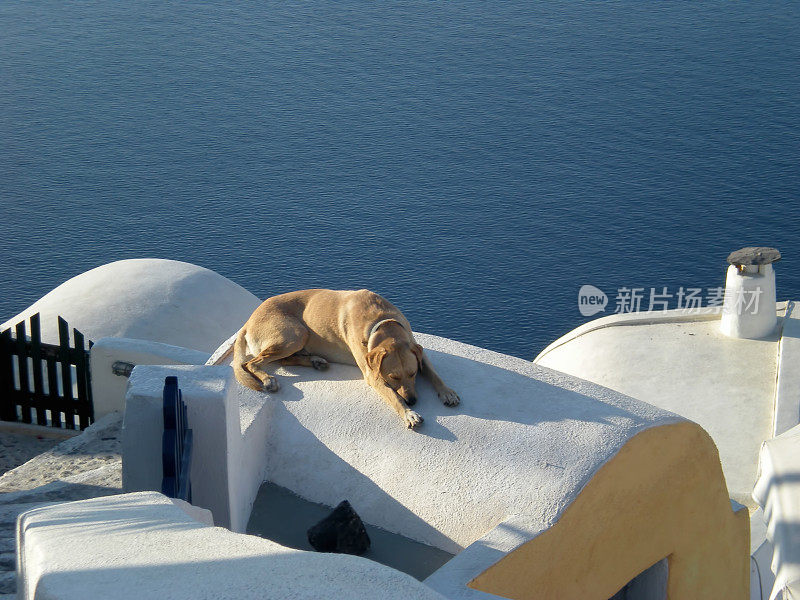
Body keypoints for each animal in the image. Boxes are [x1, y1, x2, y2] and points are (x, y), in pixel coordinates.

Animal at [231, 290, 460, 426]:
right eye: (393, 377)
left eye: (412, 374)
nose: (412, 400)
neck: (382, 322)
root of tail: (247, 322)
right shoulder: (372, 375)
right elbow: (392, 396)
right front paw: (408, 413)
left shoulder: (418, 351)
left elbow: (434, 373)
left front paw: (447, 392)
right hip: (295, 334)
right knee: (251, 363)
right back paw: (268, 379)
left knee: (285, 360)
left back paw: (316, 361)